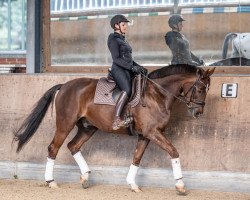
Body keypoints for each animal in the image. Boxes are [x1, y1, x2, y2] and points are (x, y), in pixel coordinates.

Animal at [12, 64, 215, 195]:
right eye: (200, 88)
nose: (198, 112)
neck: (157, 95)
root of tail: (64, 86)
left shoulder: (145, 135)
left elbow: (136, 158)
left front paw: (133, 185)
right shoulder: (153, 132)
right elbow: (174, 151)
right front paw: (180, 186)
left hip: (88, 127)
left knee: (73, 146)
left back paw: (85, 178)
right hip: (65, 124)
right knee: (54, 148)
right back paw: (51, 182)